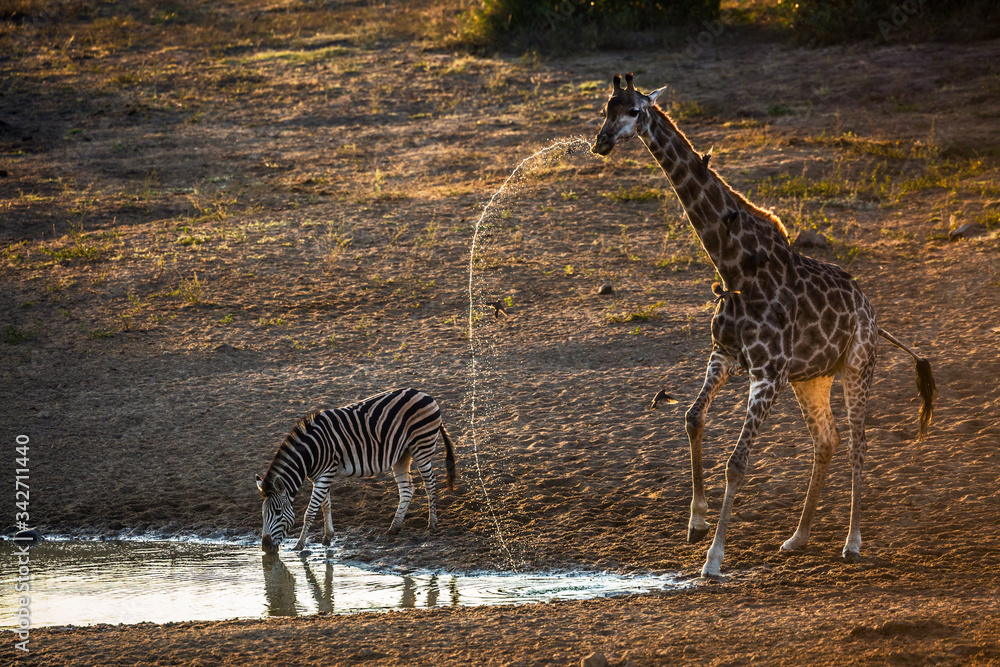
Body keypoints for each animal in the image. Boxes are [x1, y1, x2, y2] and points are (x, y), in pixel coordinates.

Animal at [255, 387, 457, 553]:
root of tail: (426, 394)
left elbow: (310, 511)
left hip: (421, 446)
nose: (265, 547)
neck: (310, 453)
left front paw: (299, 545)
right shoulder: (322, 476)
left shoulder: (325, 474)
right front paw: (327, 538)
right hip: (402, 454)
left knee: (430, 483)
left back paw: (432, 524)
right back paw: (394, 528)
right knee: (407, 489)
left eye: (278, 512)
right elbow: (325, 505)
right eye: (263, 513)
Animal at [592, 73, 936, 577]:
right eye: (605, 109)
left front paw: (713, 559)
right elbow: (692, 417)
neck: (735, 265)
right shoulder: (726, 356)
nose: (600, 143)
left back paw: (852, 542)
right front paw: (696, 523)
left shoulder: (767, 372)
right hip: (810, 378)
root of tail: (871, 311)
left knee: (858, 442)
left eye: (635, 111)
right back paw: (797, 537)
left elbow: (737, 462)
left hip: (857, 367)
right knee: (827, 440)